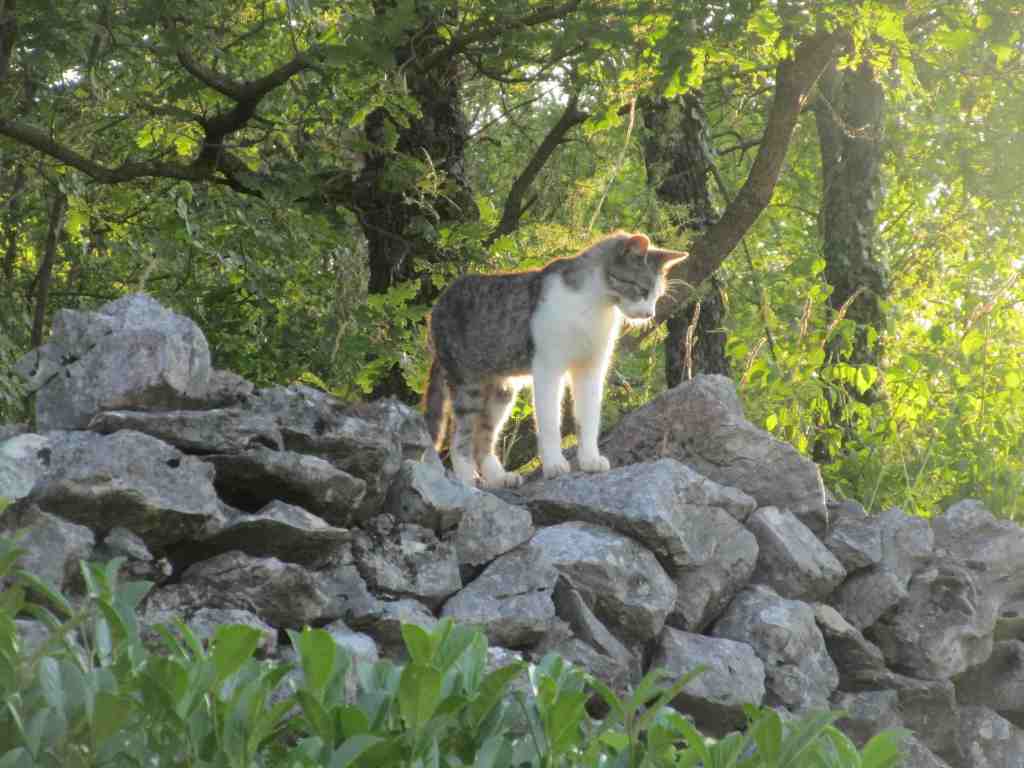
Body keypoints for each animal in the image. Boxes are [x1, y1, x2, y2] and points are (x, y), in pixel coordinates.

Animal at [423, 231, 687, 488]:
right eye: (642, 290)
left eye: (657, 296)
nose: (649, 313)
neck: (593, 305)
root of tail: (438, 304)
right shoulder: (548, 367)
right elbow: (550, 421)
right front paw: (554, 465)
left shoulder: (590, 369)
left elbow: (588, 418)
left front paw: (590, 459)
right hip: (466, 382)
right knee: (459, 434)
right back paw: (466, 479)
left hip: (501, 390)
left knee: (484, 437)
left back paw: (499, 478)